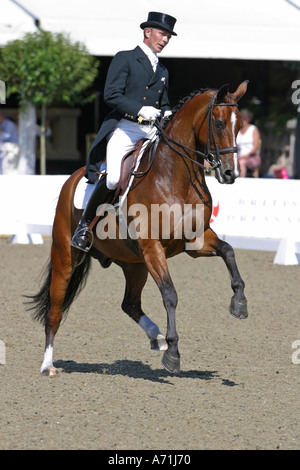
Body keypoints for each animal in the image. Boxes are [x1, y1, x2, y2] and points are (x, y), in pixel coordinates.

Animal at [27, 80, 248, 374]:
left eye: (240, 126)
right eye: (220, 123)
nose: (230, 174)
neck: (175, 177)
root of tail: (72, 178)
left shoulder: (195, 241)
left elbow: (228, 251)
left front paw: (239, 303)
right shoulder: (153, 247)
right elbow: (170, 294)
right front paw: (173, 354)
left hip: (135, 264)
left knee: (129, 304)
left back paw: (156, 336)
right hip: (66, 255)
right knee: (55, 309)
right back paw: (48, 364)